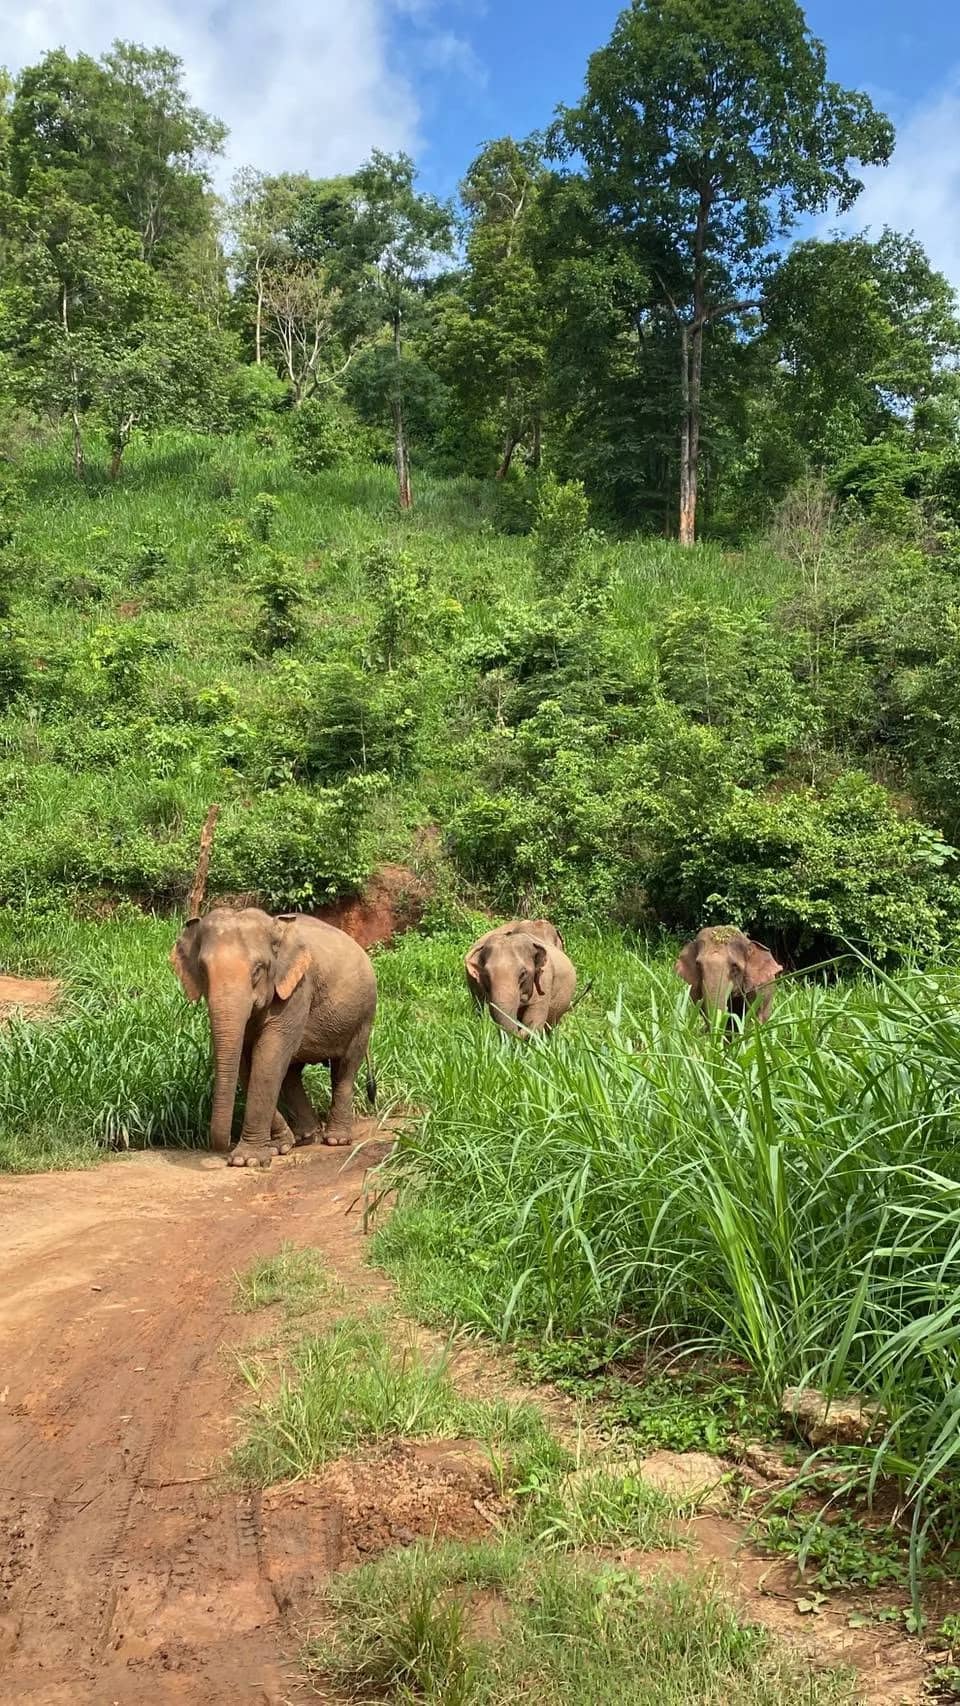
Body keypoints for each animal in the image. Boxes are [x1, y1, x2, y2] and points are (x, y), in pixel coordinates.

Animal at [170, 907, 377, 1168]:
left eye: (258, 969)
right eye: (203, 970)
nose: (221, 1147)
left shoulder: (298, 989)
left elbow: (267, 1057)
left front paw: (246, 1160)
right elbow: (247, 1063)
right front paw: (280, 1146)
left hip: (364, 1015)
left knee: (345, 1068)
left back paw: (336, 1140)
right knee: (291, 1073)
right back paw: (306, 1137)